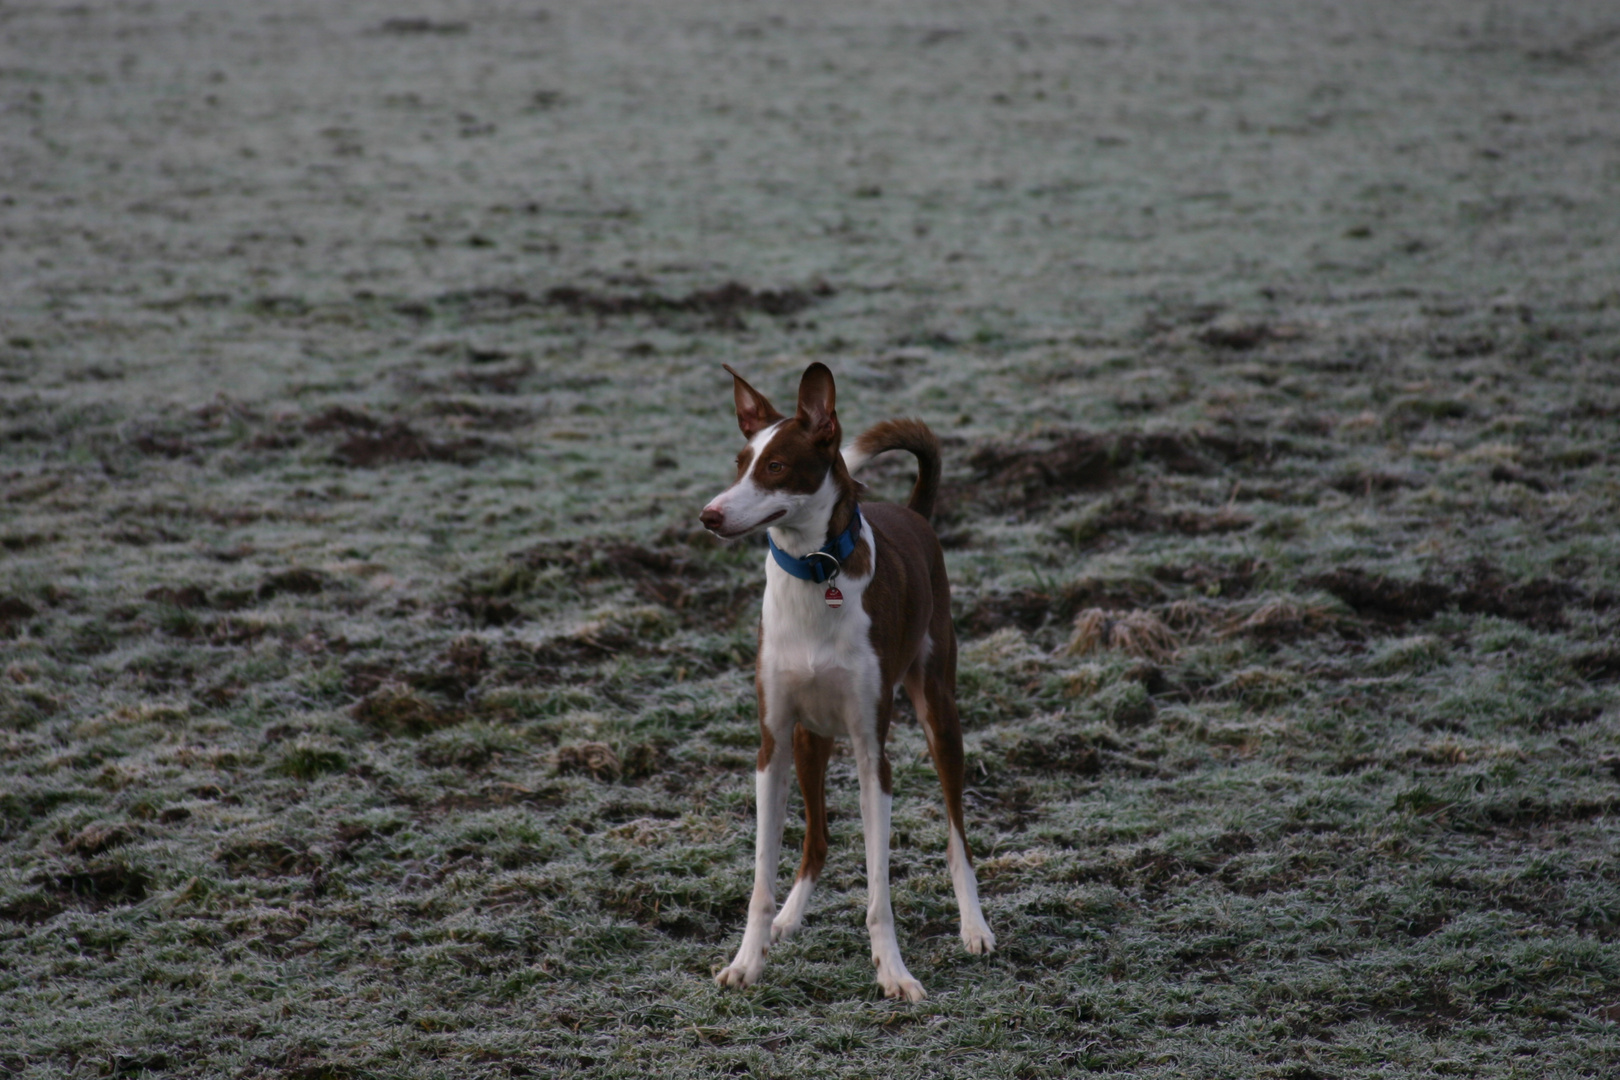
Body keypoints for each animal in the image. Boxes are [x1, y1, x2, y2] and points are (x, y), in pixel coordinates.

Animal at [699, 362, 991, 1003]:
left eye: (776, 466)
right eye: (740, 461)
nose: (709, 515)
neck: (816, 574)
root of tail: (914, 512)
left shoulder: (870, 752)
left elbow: (880, 891)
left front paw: (893, 971)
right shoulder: (773, 745)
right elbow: (760, 879)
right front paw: (747, 961)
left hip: (940, 714)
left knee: (957, 834)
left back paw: (975, 925)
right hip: (811, 739)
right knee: (818, 842)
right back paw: (788, 919)